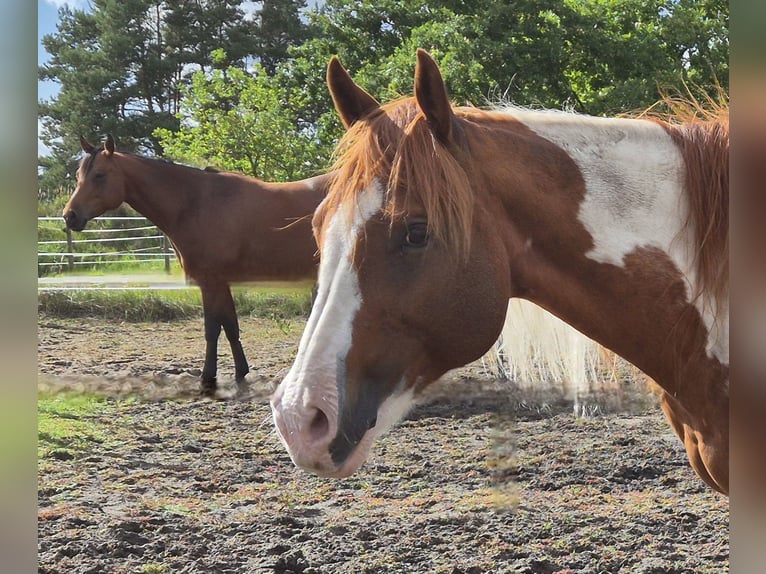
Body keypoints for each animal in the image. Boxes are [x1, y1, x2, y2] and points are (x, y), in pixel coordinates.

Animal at [63, 135, 329, 393]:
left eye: (99, 175)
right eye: (78, 176)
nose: (69, 216)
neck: (194, 204)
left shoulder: (210, 281)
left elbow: (212, 329)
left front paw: (207, 378)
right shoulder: (220, 283)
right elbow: (230, 327)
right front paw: (240, 374)